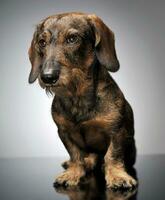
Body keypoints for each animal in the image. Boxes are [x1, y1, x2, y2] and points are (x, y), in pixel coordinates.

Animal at [28, 12, 137, 189]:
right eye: (42, 42)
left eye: (72, 39)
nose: (47, 77)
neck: (77, 96)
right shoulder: (64, 132)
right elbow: (75, 155)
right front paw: (73, 172)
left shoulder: (117, 131)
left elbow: (113, 155)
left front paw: (117, 176)